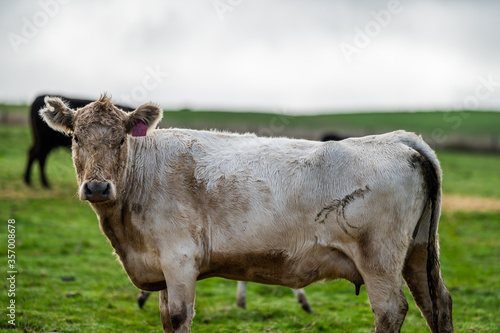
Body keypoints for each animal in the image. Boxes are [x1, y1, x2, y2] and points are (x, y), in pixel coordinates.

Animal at [40, 94, 454, 330]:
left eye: (121, 139)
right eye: (75, 137)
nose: (96, 187)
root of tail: (399, 138)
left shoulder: (179, 259)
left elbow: (178, 317)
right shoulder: (160, 265)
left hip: (378, 257)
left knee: (390, 310)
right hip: (418, 252)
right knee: (437, 305)